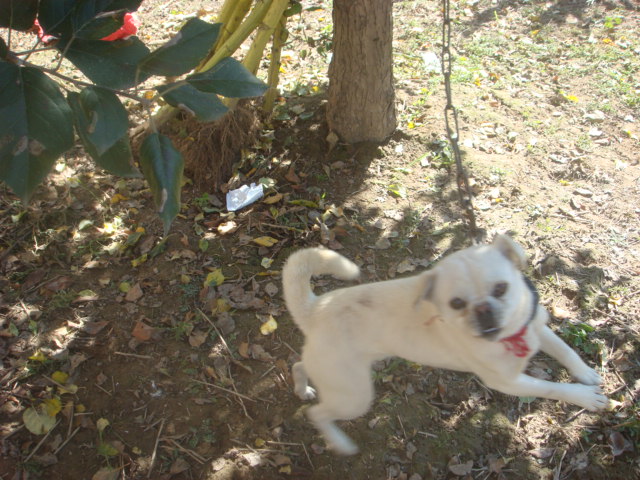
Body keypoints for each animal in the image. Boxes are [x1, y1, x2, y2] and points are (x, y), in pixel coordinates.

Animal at [282, 235, 608, 455]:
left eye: (501, 288)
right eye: (456, 304)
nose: (483, 309)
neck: (510, 338)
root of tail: (316, 308)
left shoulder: (537, 327)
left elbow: (566, 350)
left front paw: (585, 374)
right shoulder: (510, 382)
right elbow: (552, 388)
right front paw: (584, 397)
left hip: (335, 375)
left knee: (299, 365)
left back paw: (302, 388)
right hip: (354, 396)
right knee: (317, 414)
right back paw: (339, 441)